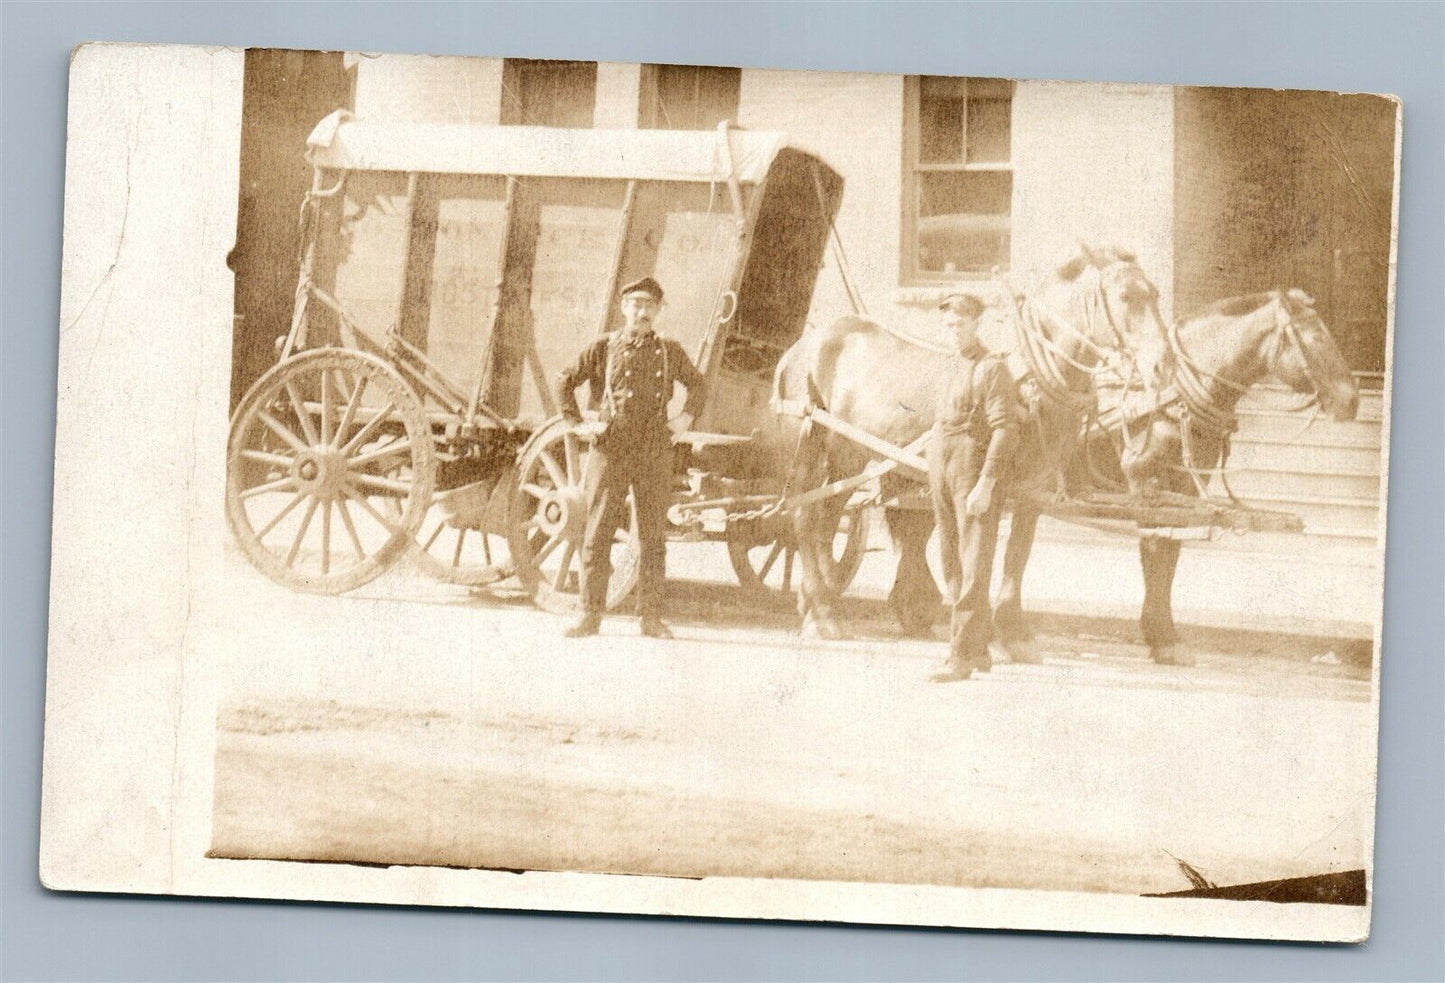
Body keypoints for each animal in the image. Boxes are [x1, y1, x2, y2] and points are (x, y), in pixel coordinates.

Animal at [774, 245, 1167, 641]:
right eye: (1125, 296)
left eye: (1155, 294)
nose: (1161, 365)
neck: (1030, 380)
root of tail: (802, 347)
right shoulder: (984, 484)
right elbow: (979, 553)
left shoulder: (1033, 486)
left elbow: (1017, 554)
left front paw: (1010, 628)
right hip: (821, 446)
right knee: (805, 518)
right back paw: (823, 613)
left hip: (843, 456)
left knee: (823, 521)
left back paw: (815, 602)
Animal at [1069, 287, 1358, 664]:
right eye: (1316, 337)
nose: (1351, 400)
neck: (1172, 397)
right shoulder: (1147, 485)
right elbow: (1155, 551)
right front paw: (1162, 636)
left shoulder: (1186, 490)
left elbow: (1168, 553)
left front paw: (1164, 637)